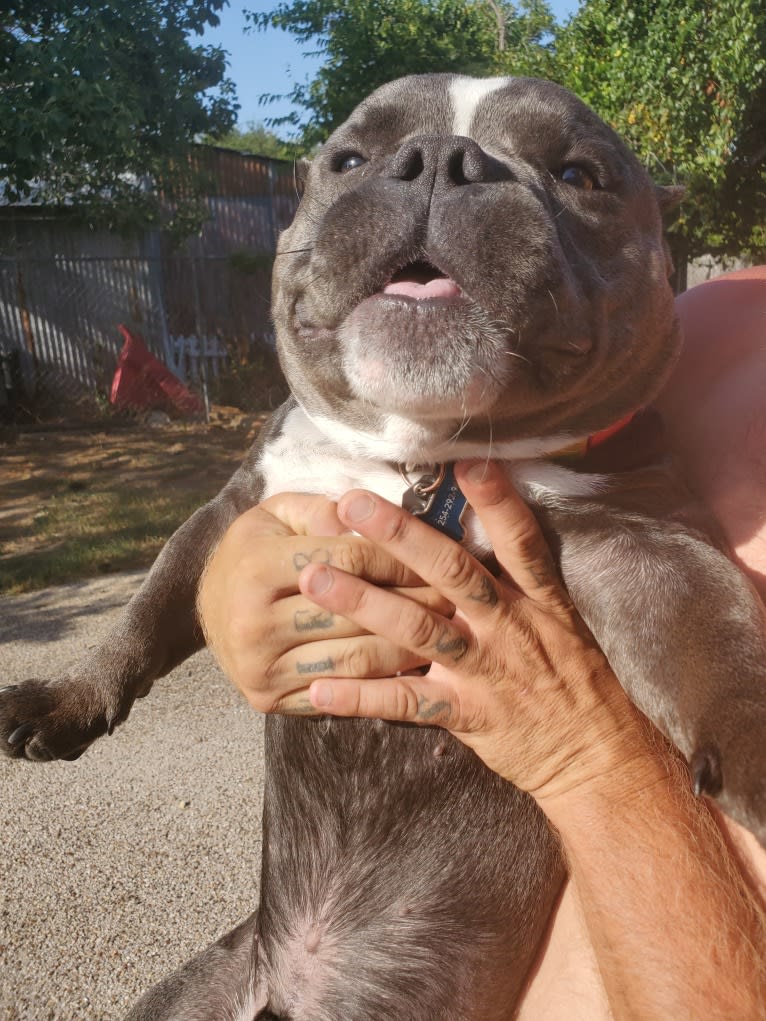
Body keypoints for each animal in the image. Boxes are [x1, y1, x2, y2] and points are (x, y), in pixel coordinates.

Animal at [4, 77, 766, 1021]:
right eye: (349, 159)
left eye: (579, 174)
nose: (442, 158)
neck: (427, 457)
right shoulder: (237, 508)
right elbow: (145, 609)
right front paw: (70, 696)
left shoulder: (644, 546)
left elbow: (720, 634)